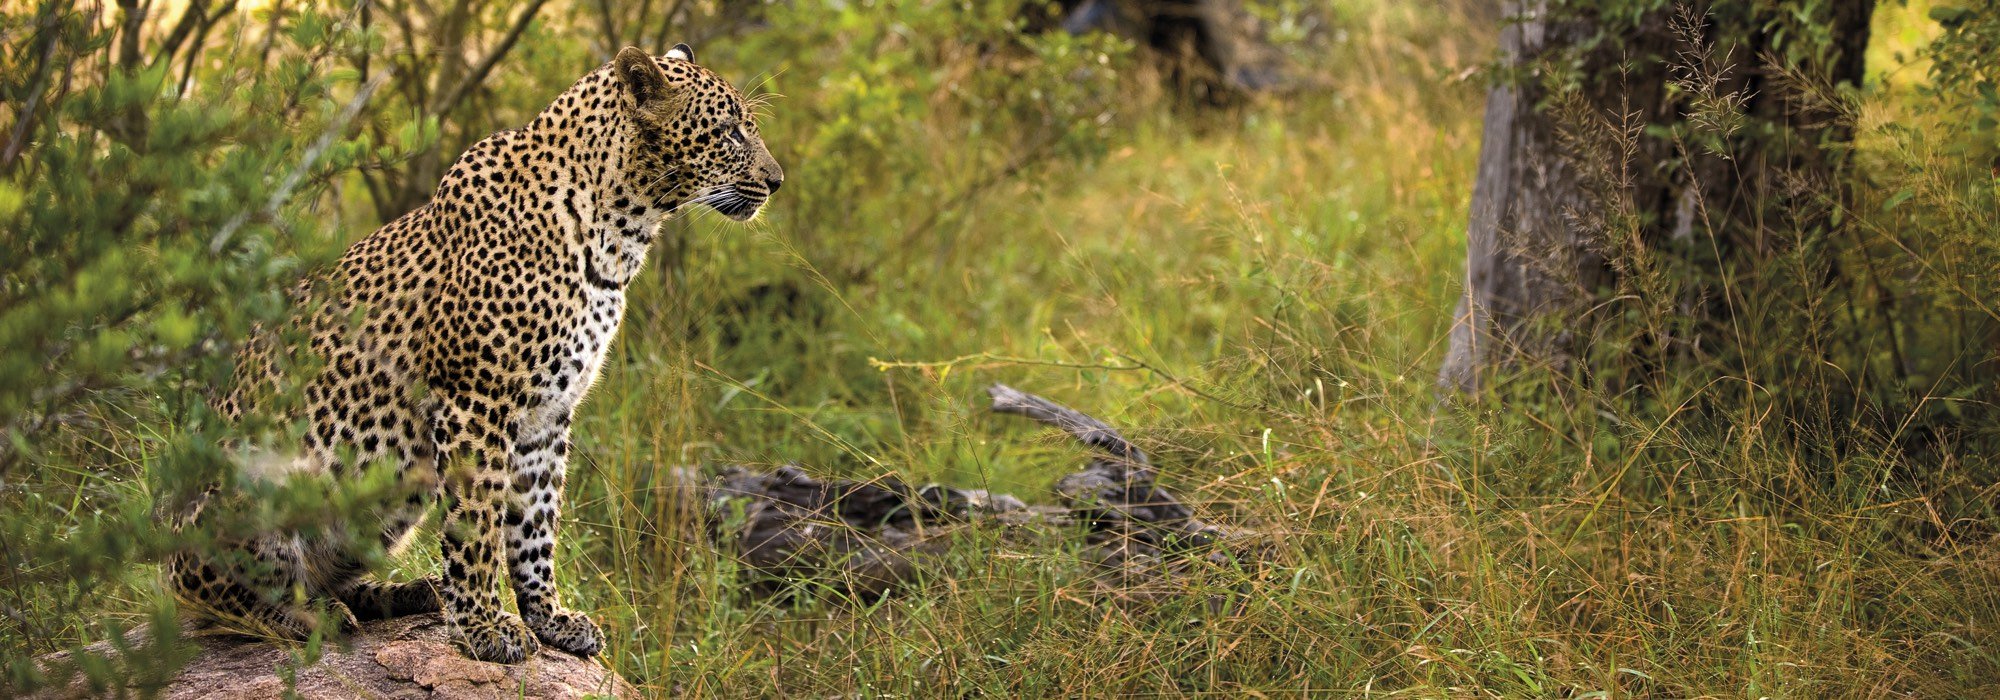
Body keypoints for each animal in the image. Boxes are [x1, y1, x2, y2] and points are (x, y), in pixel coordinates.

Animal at [172, 43, 780, 660]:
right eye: (730, 132)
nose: (776, 181)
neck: (619, 235)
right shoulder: (475, 401)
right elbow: (478, 523)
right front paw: (486, 627)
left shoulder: (548, 416)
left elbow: (534, 526)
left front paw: (549, 619)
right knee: (219, 596)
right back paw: (310, 618)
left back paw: (404, 594)